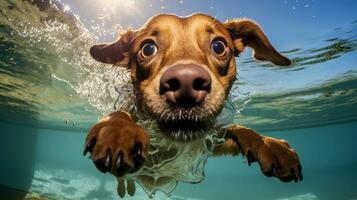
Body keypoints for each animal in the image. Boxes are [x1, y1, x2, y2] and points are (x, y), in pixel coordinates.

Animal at [82, 13, 300, 198]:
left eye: (219, 46)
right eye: (148, 48)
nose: (185, 83)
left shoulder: (207, 146)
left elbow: (238, 128)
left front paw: (268, 144)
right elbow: (120, 113)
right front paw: (117, 131)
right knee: (124, 178)